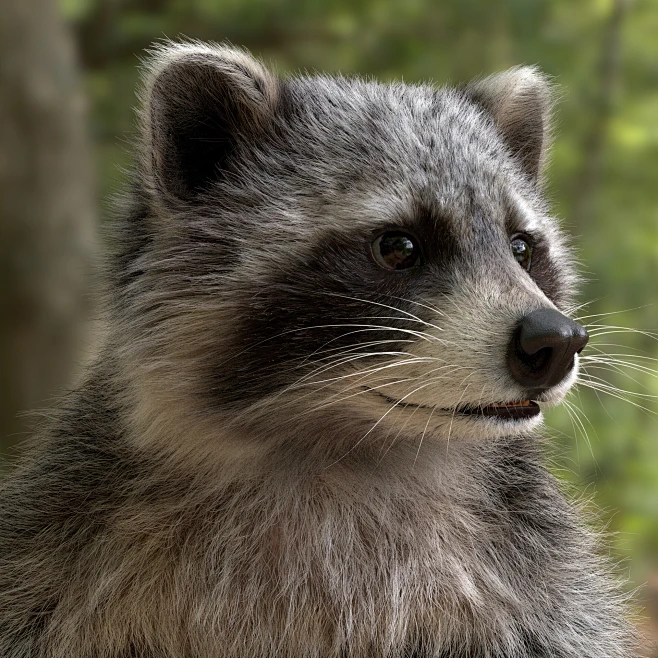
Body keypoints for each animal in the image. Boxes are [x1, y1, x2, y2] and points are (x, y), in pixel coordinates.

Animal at [0, 41, 639, 657]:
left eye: (522, 247)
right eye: (398, 246)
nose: (555, 340)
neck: (345, 453)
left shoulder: (536, 576)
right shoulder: (63, 548)